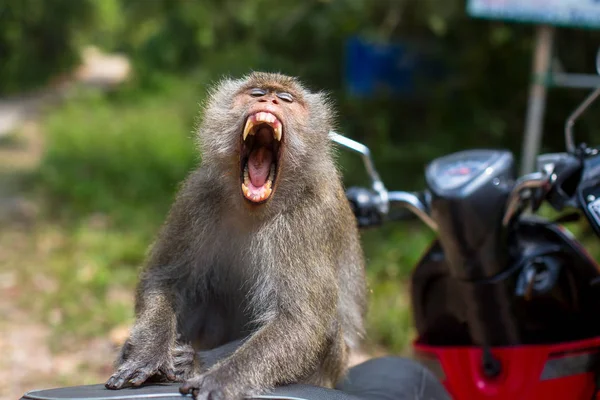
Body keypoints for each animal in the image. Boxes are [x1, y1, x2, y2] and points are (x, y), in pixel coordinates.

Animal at [104, 72, 366, 400]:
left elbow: (300, 320)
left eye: (287, 99)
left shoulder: (310, 217)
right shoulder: (197, 195)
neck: (254, 210)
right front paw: (147, 352)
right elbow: (164, 278)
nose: (270, 100)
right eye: (256, 93)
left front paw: (220, 377)